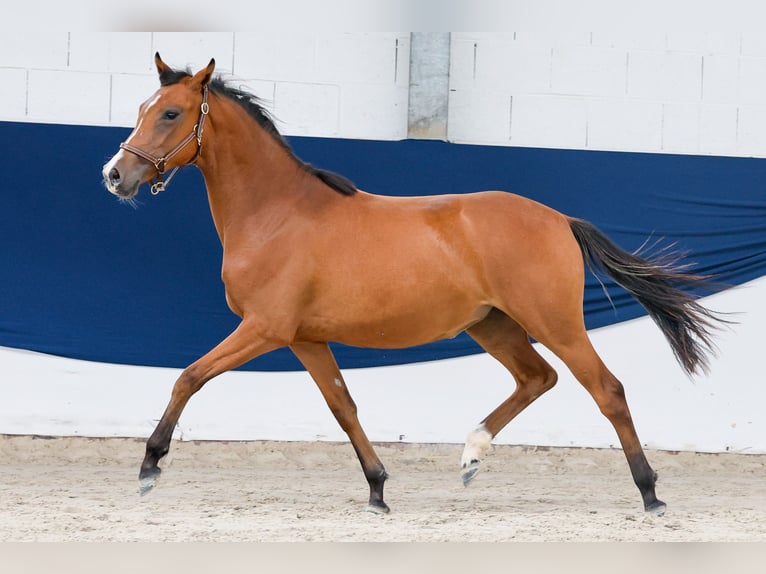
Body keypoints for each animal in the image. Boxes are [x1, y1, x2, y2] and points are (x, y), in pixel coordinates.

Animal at [102, 53, 724, 516]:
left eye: (171, 113)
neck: (276, 213)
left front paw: (149, 467)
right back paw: (471, 456)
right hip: (494, 326)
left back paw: (650, 493)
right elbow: (343, 406)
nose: (115, 176)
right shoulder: (305, 338)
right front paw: (377, 489)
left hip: (557, 323)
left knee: (607, 389)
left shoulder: (265, 328)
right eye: (142, 108)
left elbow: (188, 377)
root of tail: (559, 220)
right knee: (537, 378)